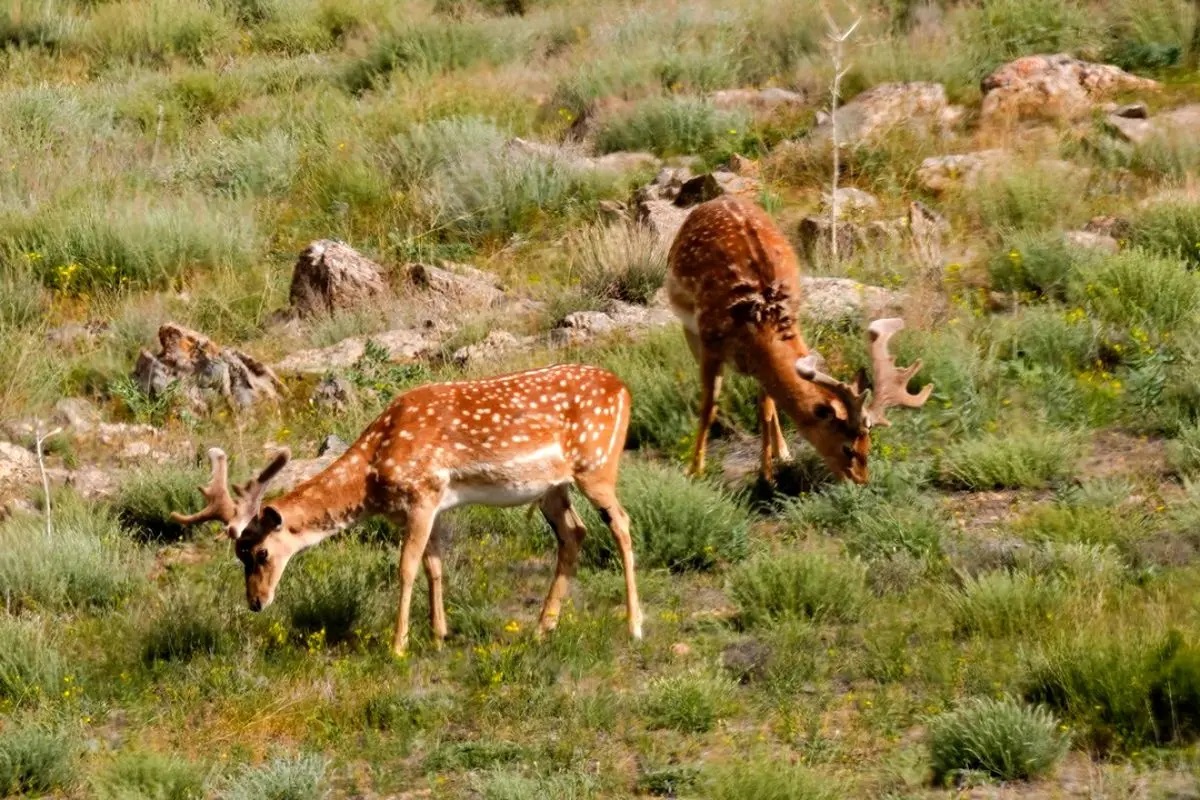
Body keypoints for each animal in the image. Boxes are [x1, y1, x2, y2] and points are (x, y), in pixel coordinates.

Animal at [170, 362, 643, 657]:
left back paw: (634, 625)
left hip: (597, 463)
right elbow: (434, 564)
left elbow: (406, 567)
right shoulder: (430, 506)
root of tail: (625, 389)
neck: (373, 475)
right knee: (574, 532)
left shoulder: (422, 494)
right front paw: (438, 635)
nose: (256, 602)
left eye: (261, 552)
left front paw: (398, 645)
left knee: (621, 523)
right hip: (552, 487)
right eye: (238, 555)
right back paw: (544, 627)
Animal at [662, 195, 931, 482]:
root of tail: (720, 198)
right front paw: (695, 471)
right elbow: (708, 406)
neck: (758, 322)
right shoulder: (710, 342)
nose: (861, 482)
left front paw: (767, 471)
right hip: (688, 327)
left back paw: (782, 451)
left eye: (868, 443)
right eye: (847, 448)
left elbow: (766, 405)